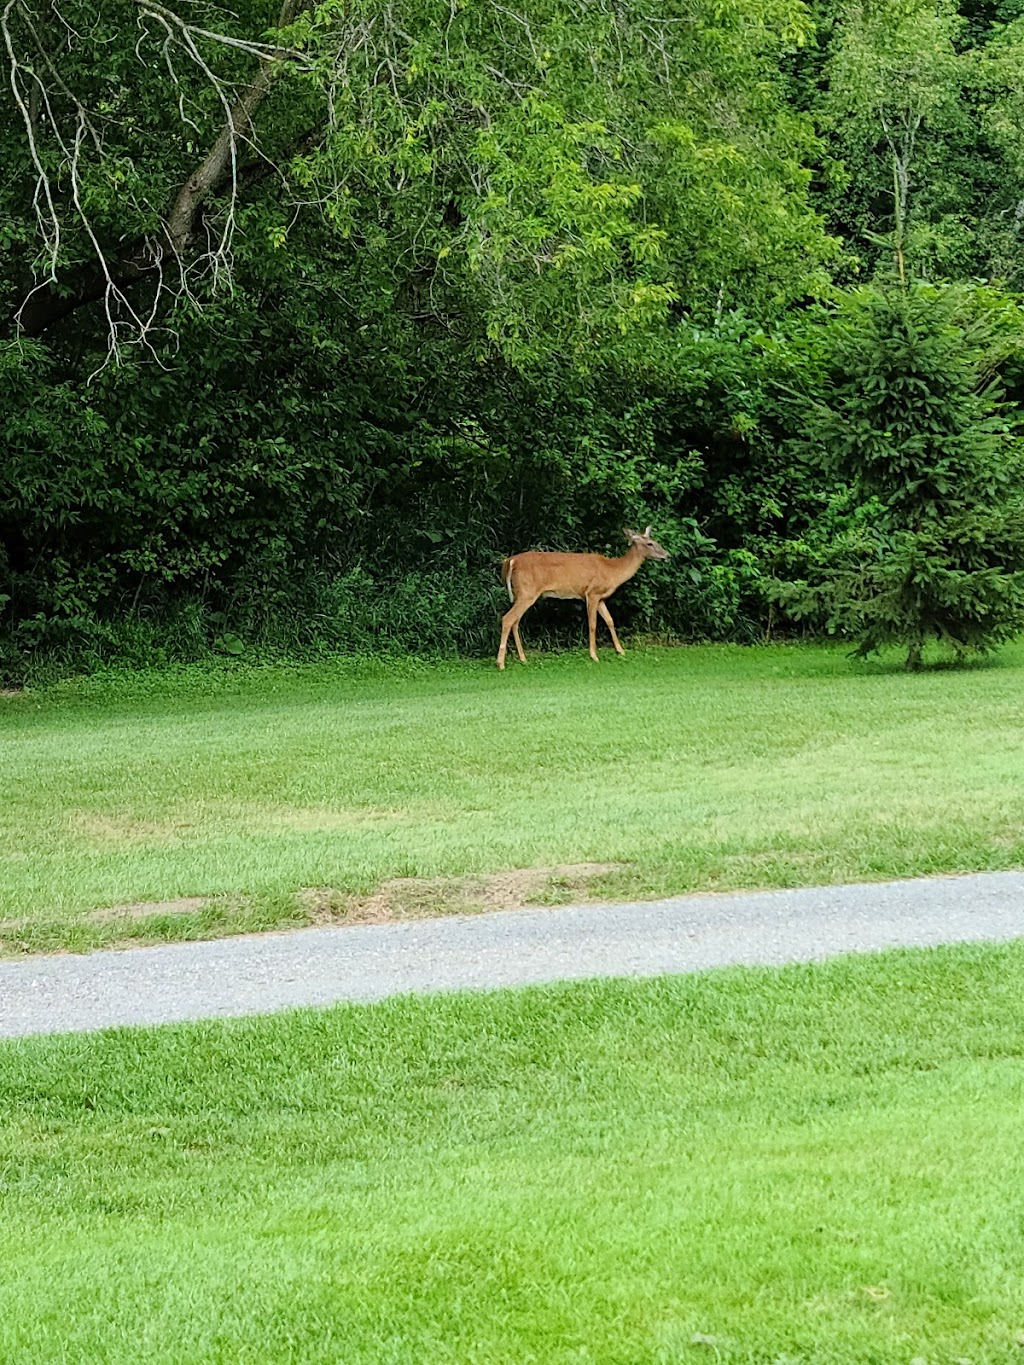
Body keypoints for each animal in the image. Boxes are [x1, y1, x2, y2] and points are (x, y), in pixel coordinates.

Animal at [499, 524, 674, 668]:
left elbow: (610, 620)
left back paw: (523, 658)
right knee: (507, 618)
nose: (667, 555)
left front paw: (621, 651)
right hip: (527, 591)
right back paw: (500, 663)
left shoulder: (601, 597)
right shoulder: (592, 593)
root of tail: (510, 561)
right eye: (650, 543)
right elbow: (593, 624)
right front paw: (594, 656)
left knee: (515, 621)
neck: (612, 571)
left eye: (655, 540)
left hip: (519, 593)